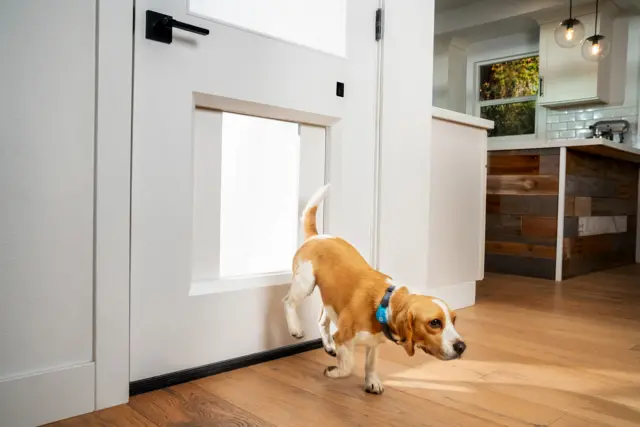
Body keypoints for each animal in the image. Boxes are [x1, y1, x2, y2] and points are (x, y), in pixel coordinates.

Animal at [284, 184, 464, 394]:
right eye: (435, 323)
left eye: (454, 320)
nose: (462, 347)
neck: (383, 302)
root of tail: (316, 236)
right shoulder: (343, 337)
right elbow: (347, 366)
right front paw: (335, 372)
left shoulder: (373, 343)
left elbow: (370, 364)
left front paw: (371, 382)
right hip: (305, 284)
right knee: (288, 302)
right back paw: (296, 328)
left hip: (330, 299)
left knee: (322, 321)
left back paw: (328, 345)